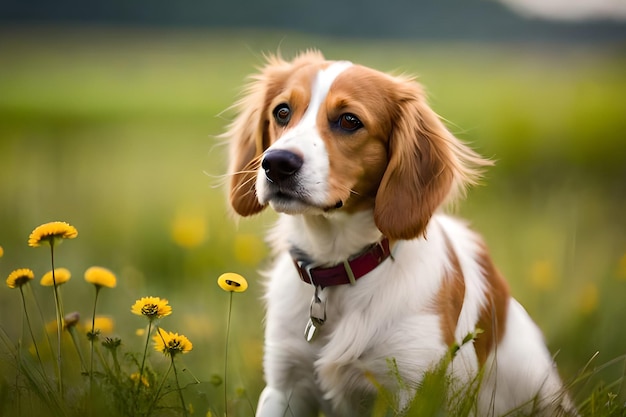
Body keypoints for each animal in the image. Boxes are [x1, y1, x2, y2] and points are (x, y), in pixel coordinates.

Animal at [222, 51, 572, 416]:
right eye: (282, 112)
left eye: (349, 121)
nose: (276, 163)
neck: (339, 269)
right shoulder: (284, 385)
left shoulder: (416, 387)